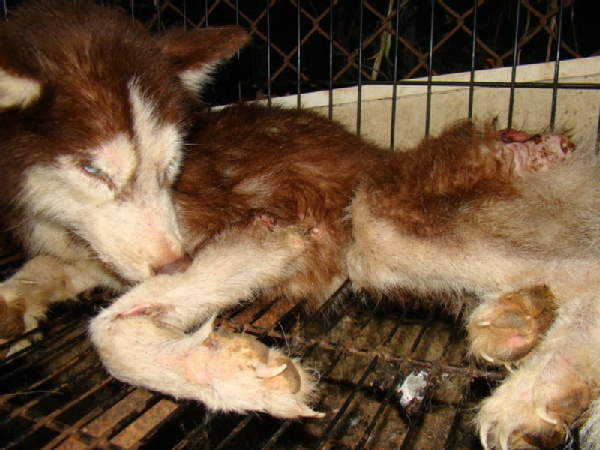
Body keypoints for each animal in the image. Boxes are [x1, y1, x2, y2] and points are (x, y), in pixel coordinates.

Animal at [2, 1, 599, 448]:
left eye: (172, 165)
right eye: (94, 170)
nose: (174, 263)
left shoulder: (247, 235)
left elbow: (108, 335)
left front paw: (230, 374)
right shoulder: (87, 256)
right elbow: (39, 278)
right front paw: (16, 308)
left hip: (377, 229)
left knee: (586, 274)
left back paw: (537, 391)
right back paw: (517, 321)